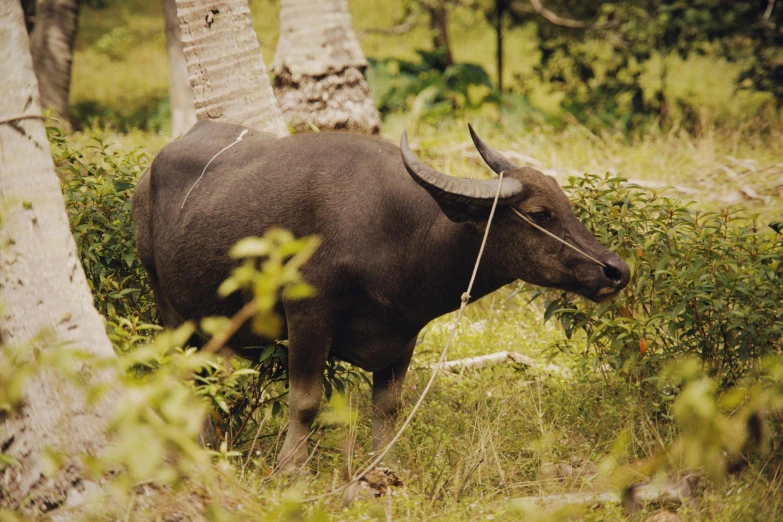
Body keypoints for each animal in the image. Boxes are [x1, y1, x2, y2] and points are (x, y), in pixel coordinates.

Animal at [130, 120, 632, 466]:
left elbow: (387, 408)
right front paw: (292, 469)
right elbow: (305, 401)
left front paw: (381, 469)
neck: (399, 235)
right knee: (184, 377)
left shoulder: (404, 335)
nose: (617, 271)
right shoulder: (307, 316)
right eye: (540, 212)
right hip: (168, 305)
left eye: (566, 204)